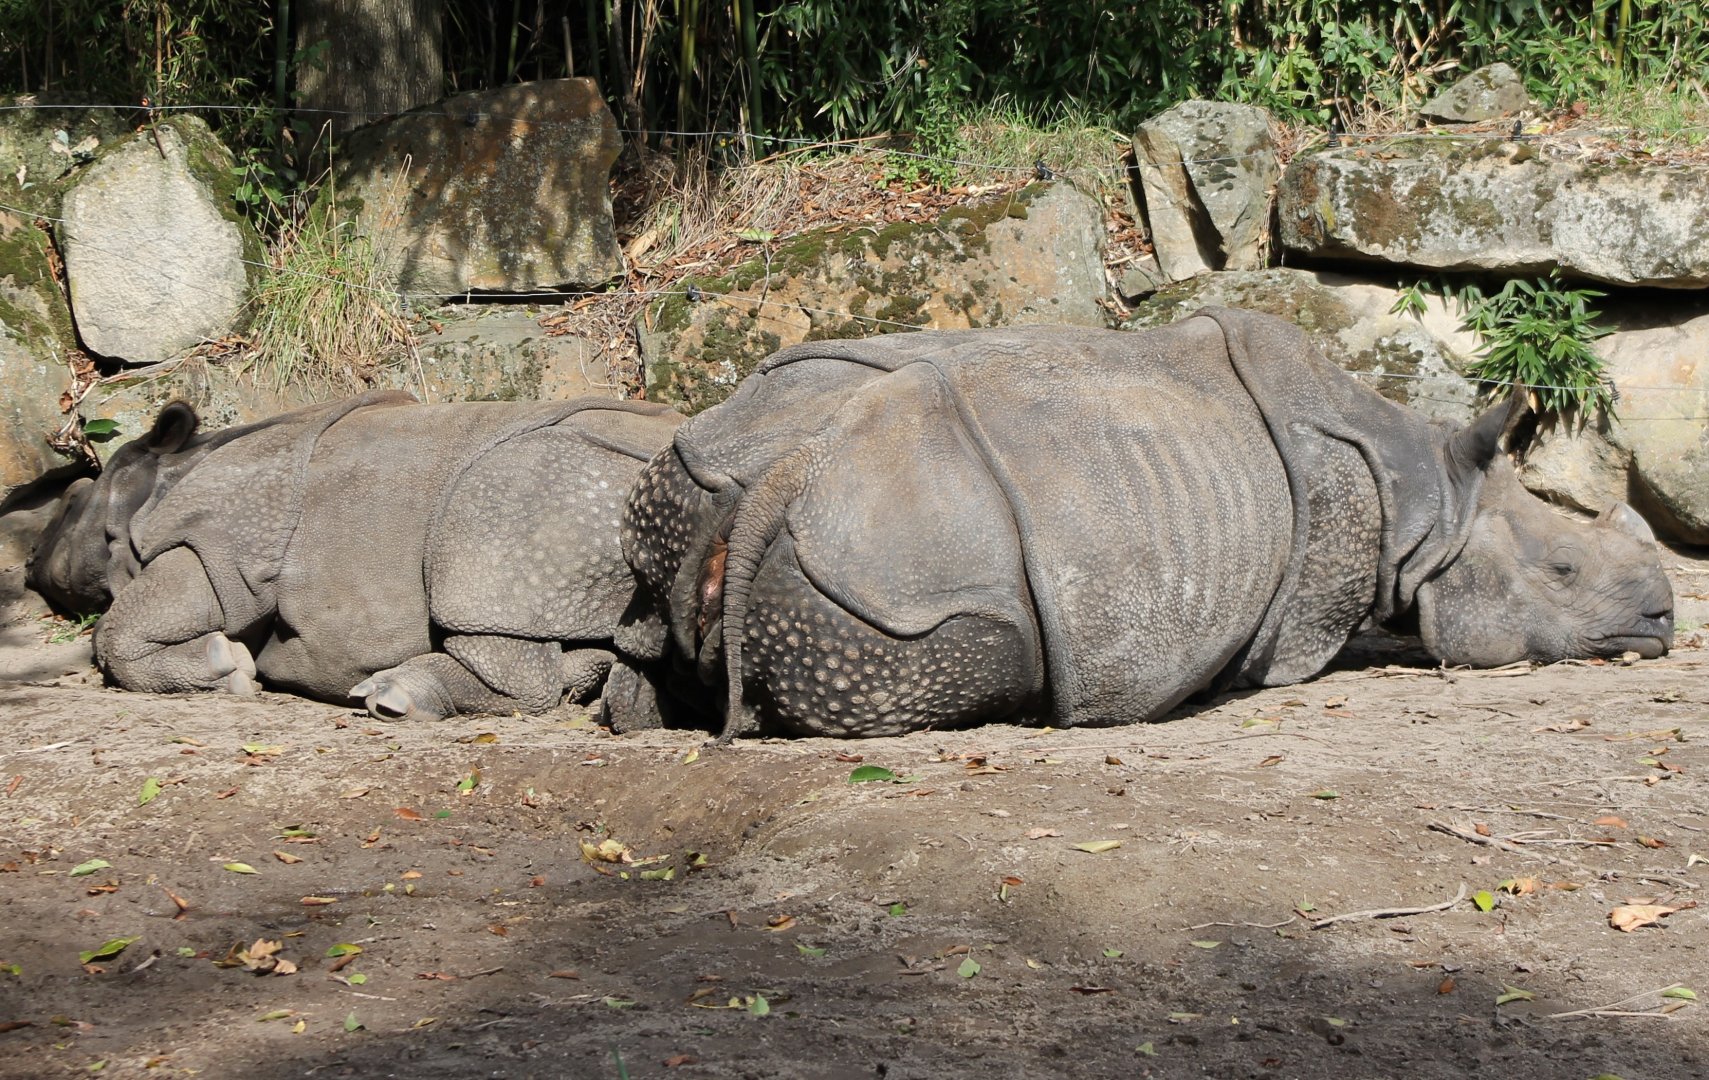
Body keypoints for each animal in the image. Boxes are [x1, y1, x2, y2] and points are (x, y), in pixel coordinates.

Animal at [27, 390, 683, 721]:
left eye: (70, 504)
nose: (27, 559)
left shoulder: (222, 544)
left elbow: (119, 630)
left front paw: (227, 667)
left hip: (554, 480)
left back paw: (391, 698)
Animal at [617, 308, 1673, 739]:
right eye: (1564, 571)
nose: (1664, 619)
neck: (1431, 497)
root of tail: (784, 475)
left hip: (710, 461)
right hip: (903, 559)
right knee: (976, 644)